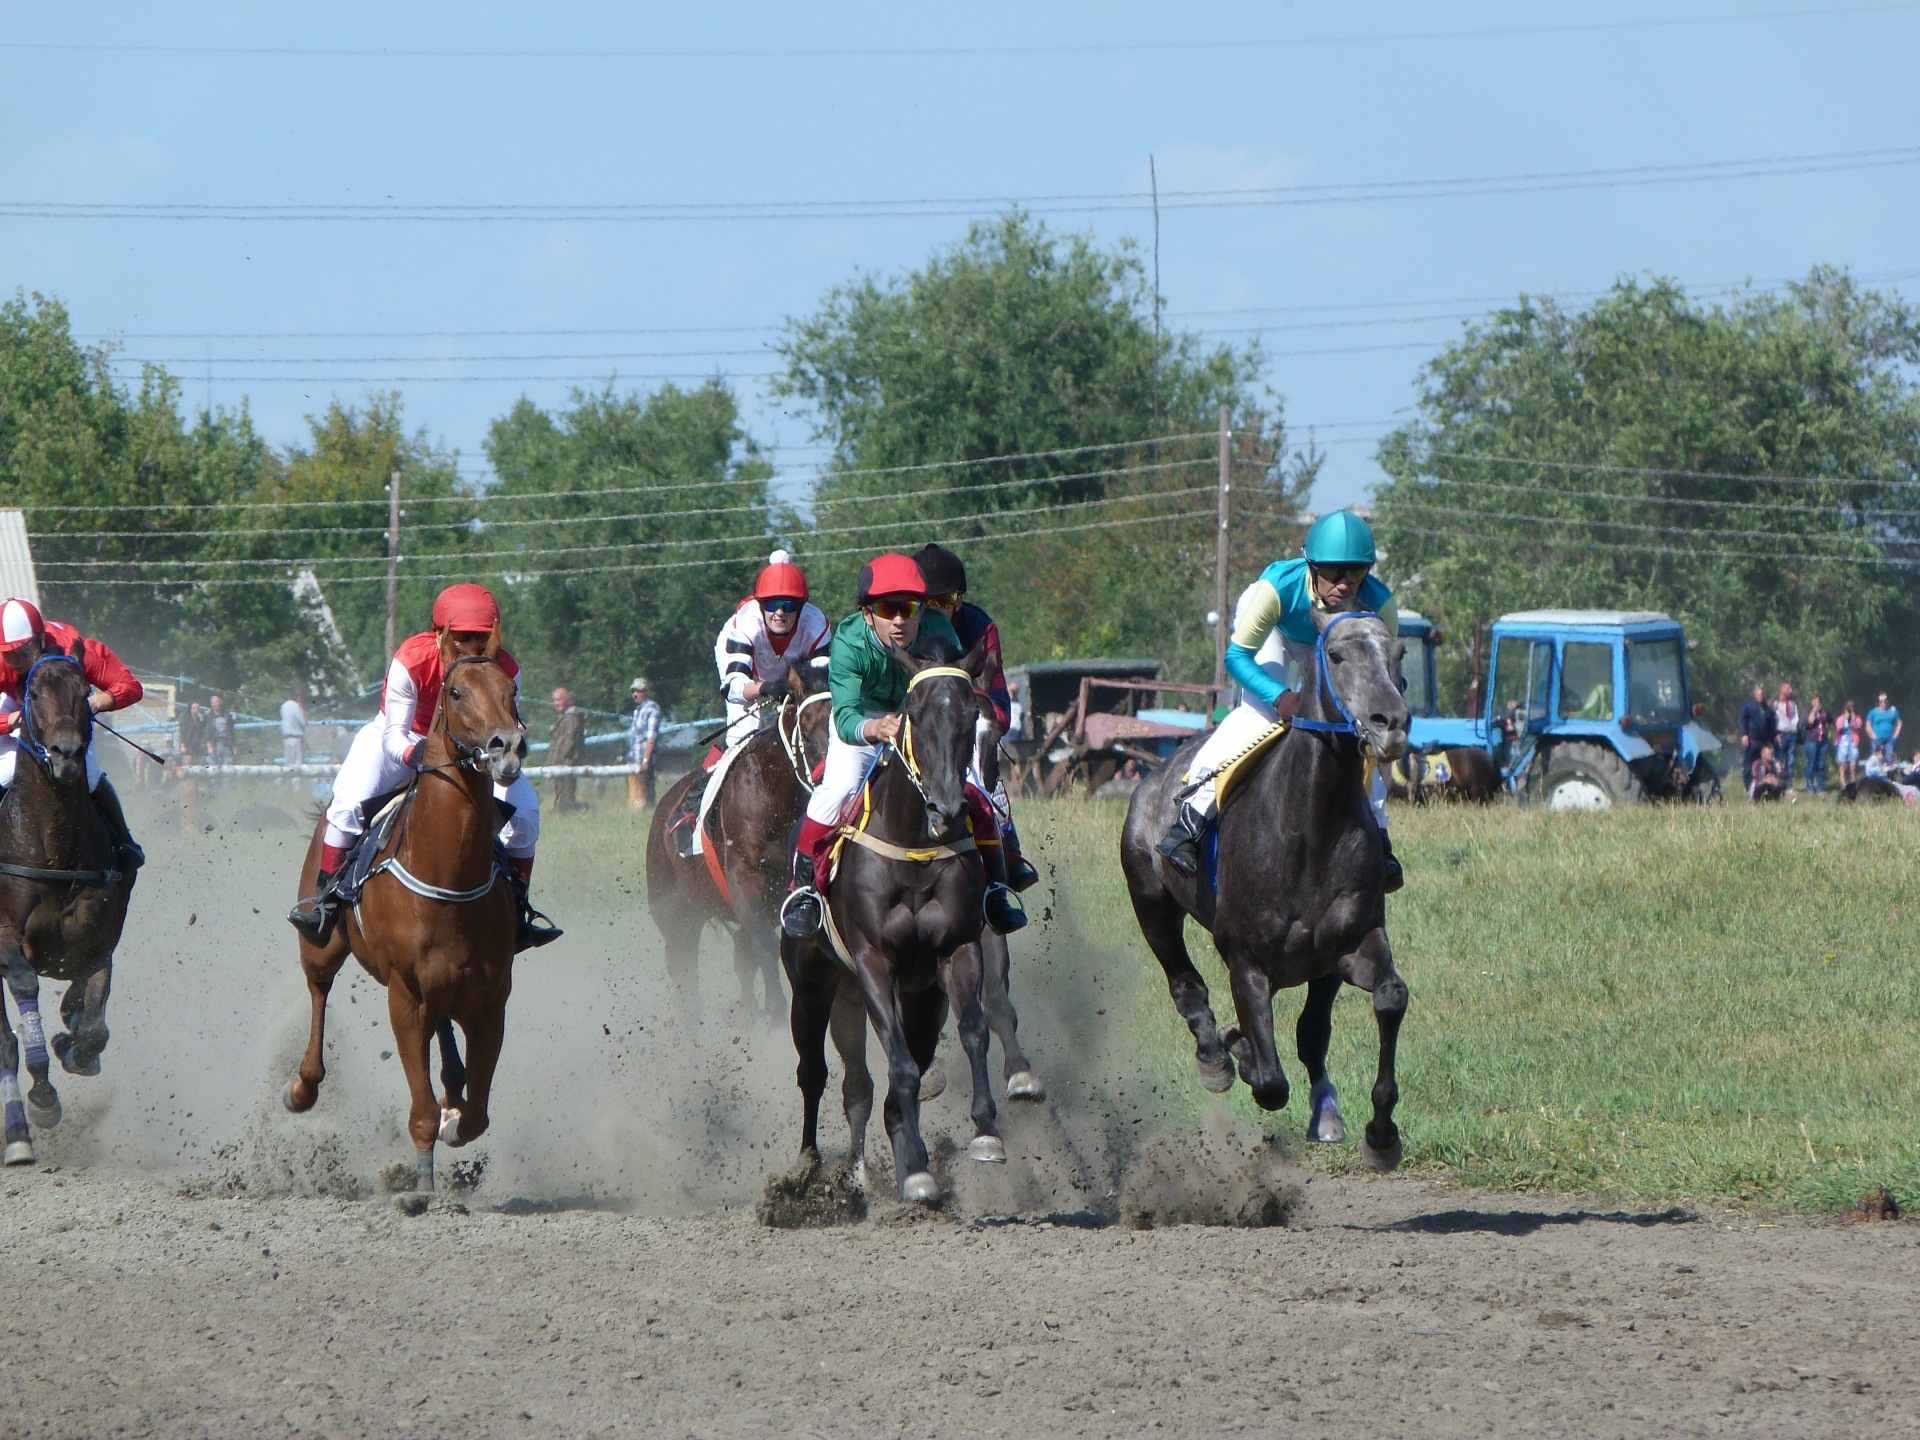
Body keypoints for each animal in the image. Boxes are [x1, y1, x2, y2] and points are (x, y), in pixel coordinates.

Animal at [0, 642, 136, 1165]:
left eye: (84, 692)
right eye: (33, 693)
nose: (66, 754)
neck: (51, 843)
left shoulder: (96, 944)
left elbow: (93, 1028)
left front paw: (71, 1044)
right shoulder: (5, 938)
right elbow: (23, 991)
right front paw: (42, 1094)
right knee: (6, 1043)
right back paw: (18, 1132)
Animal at [282, 638, 528, 1193]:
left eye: (512, 690)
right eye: (456, 692)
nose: (507, 746)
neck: (450, 880)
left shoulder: (490, 999)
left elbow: (477, 1113)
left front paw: (456, 1116)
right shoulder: (406, 997)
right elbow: (422, 1113)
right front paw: (421, 1189)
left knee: (447, 1040)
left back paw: (453, 1089)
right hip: (322, 946)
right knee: (318, 989)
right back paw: (303, 1085)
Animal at [645, 661, 833, 1025]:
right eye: (806, 726)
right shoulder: (746, 882)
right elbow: (767, 949)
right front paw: (776, 1018)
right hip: (676, 917)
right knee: (686, 980)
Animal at [780, 635, 1001, 1203]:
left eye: (972, 714)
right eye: (912, 714)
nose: (946, 808)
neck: (913, 845)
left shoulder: (957, 950)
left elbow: (974, 1031)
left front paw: (985, 1132)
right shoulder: (872, 961)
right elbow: (898, 1063)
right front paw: (917, 1168)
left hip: (911, 997)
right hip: (813, 983)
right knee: (814, 1072)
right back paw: (808, 1163)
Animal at [1119, 606, 1413, 1169]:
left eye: (1398, 654)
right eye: (1335, 655)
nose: (1391, 723)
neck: (1311, 826)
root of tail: (1152, 775)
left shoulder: (1348, 945)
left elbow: (1380, 1001)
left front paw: (1380, 1133)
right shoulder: (1245, 958)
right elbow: (1272, 1083)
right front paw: (1241, 1052)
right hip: (1150, 901)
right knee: (1185, 985)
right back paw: (1216, 1054)